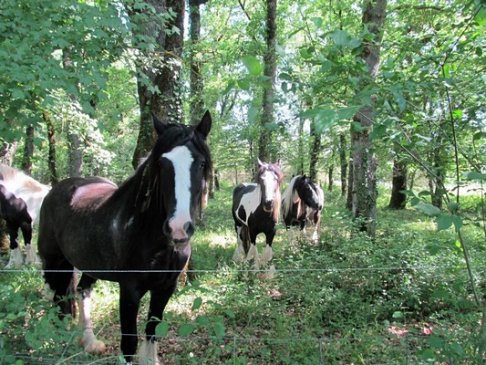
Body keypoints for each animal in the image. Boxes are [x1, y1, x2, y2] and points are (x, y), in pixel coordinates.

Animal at [38, 111, 213, 364]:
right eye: (162, 163)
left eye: (200, 163)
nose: (178, 228)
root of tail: (55, 190)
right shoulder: (129, 290)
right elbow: (129, 343)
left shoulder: (165, 288)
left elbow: (151, 332)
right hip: (53, 263)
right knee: (59, 300)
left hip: (89, 265)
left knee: (81, 291)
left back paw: (89, 342)